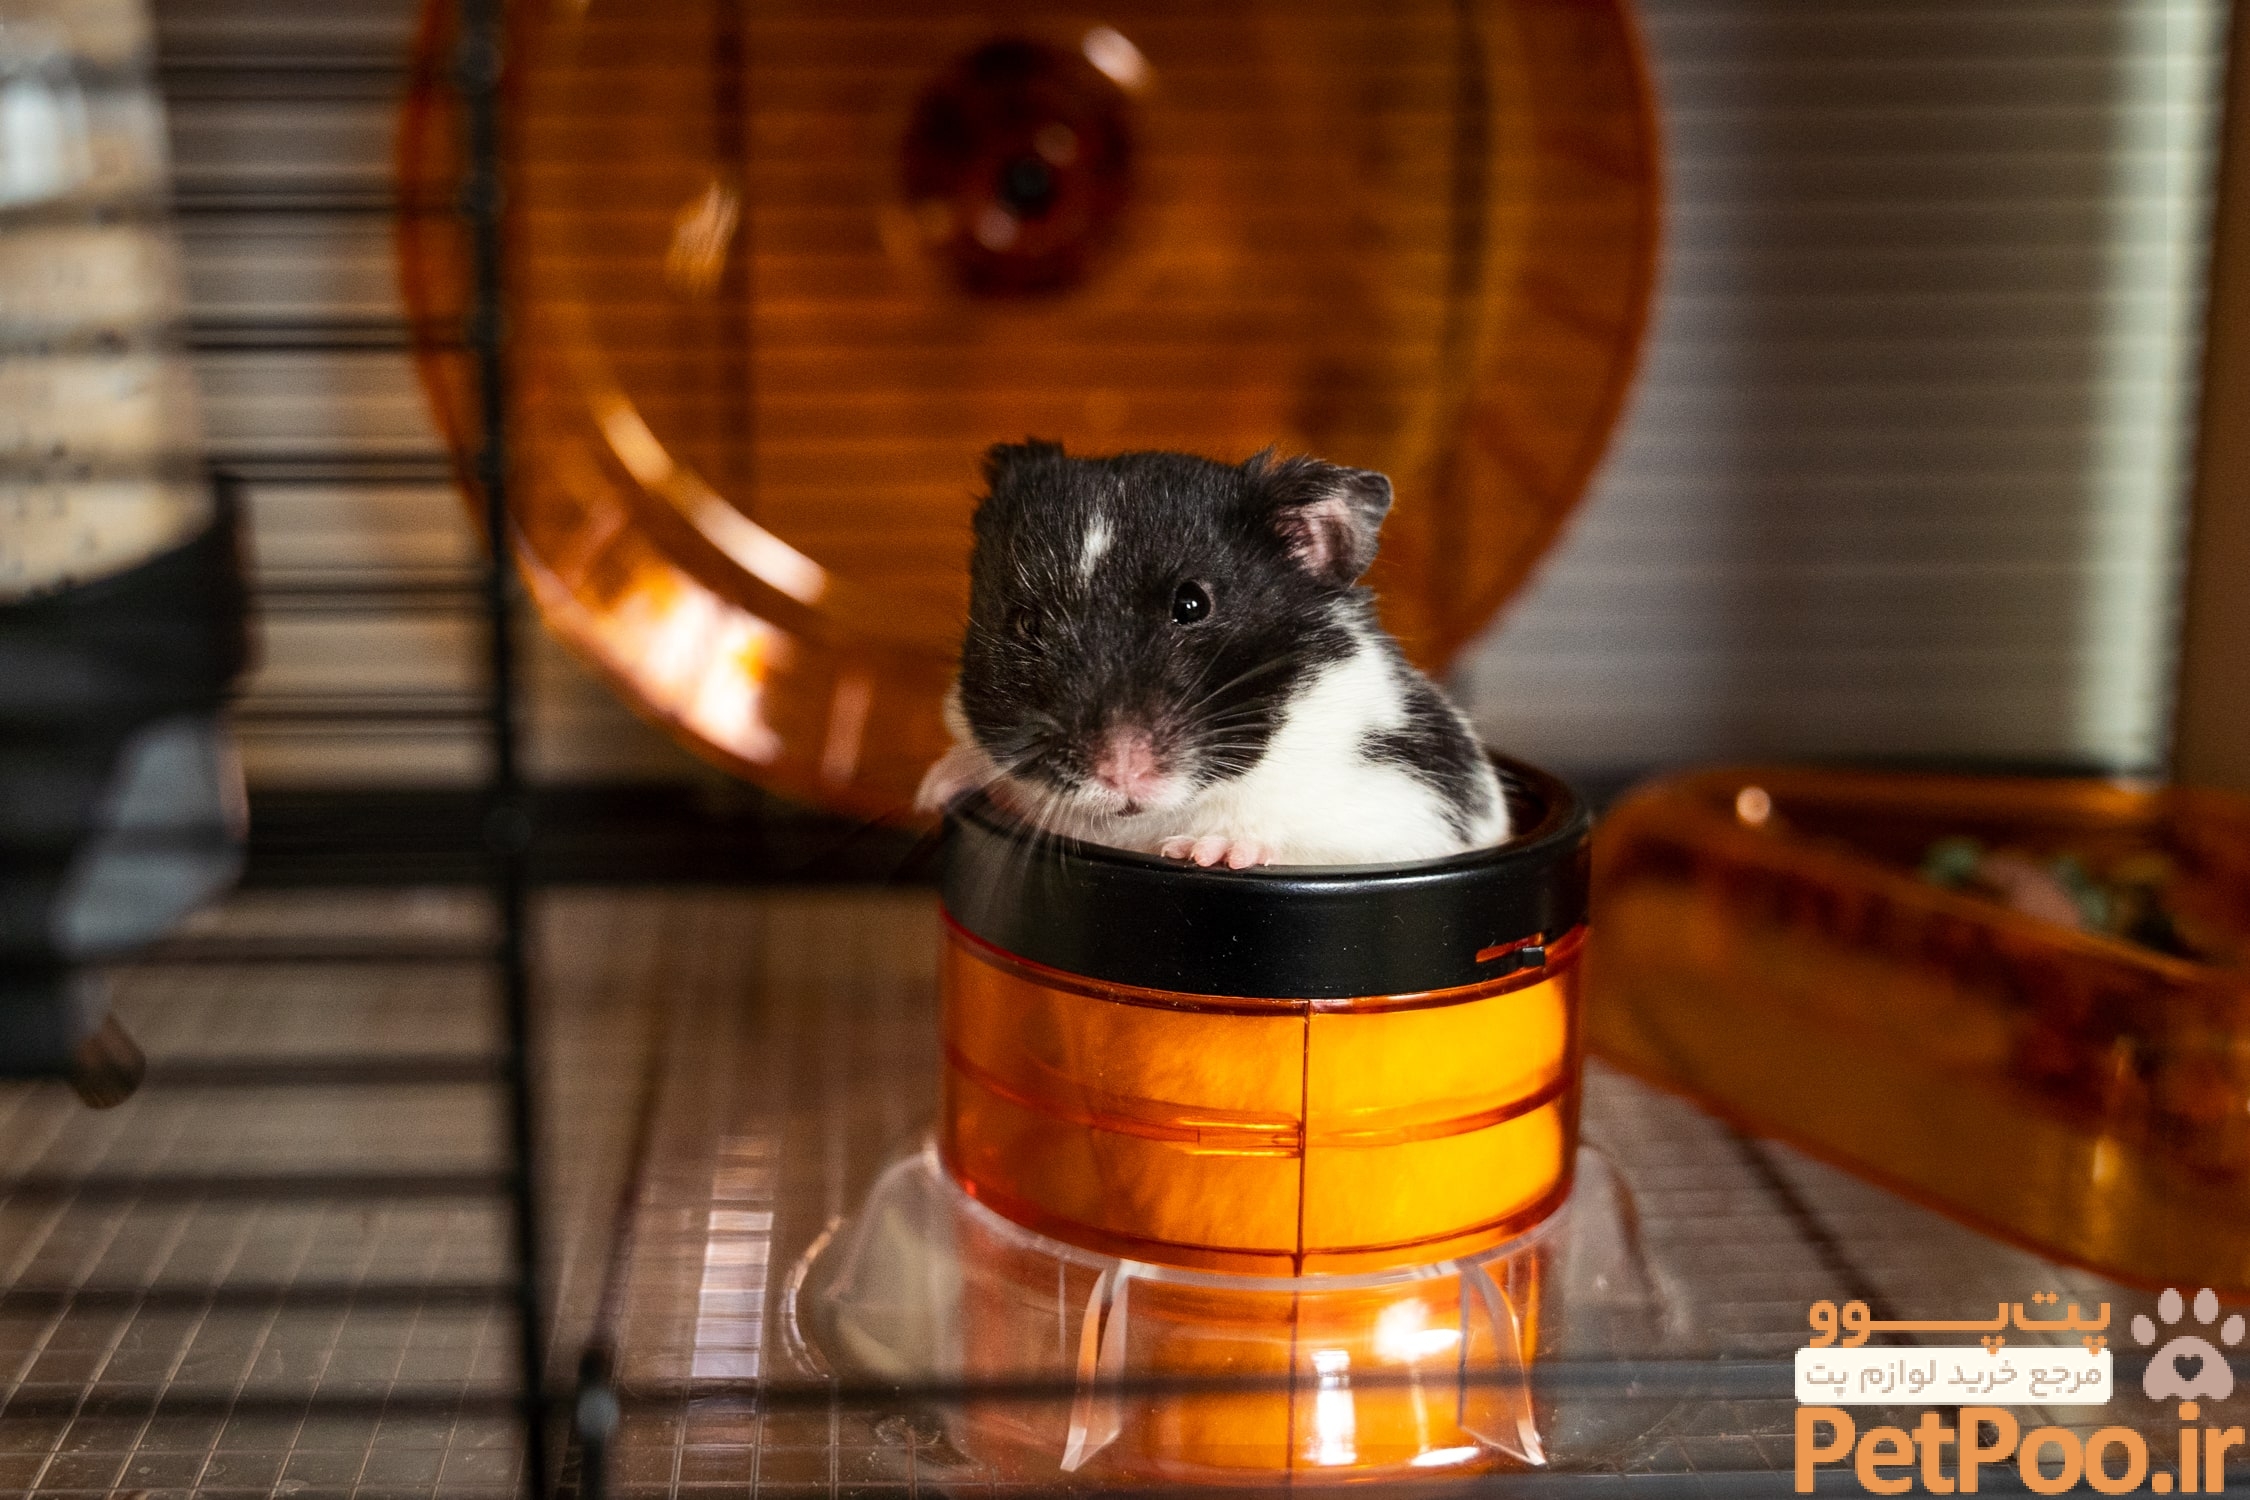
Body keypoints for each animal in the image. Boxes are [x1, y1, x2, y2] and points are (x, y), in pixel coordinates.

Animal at [915, 442, 1509, 867]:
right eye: (1026, 623)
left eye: (1192, 603)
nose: (1120, 774)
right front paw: (934, 790)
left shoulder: (1412, 805)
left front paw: (1206, 852)